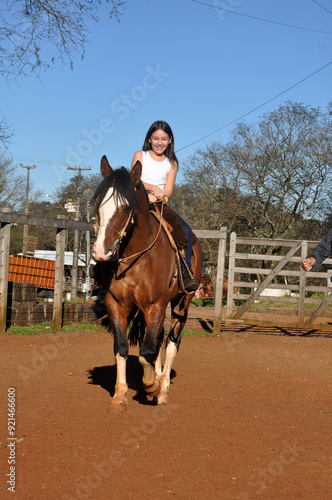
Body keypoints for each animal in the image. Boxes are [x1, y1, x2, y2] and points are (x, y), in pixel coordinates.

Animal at [92, 156, 204, 410]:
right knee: (160, 340)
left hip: (181, 304)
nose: (101, 252)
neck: (136, 257)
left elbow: (146, 352)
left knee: (172, 342)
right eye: (98, 206)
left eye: (126, 208)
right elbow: (122, 348)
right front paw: (119, 395)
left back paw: (162, 389)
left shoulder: (156, 306)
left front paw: (151, 385)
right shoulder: (115, 304)